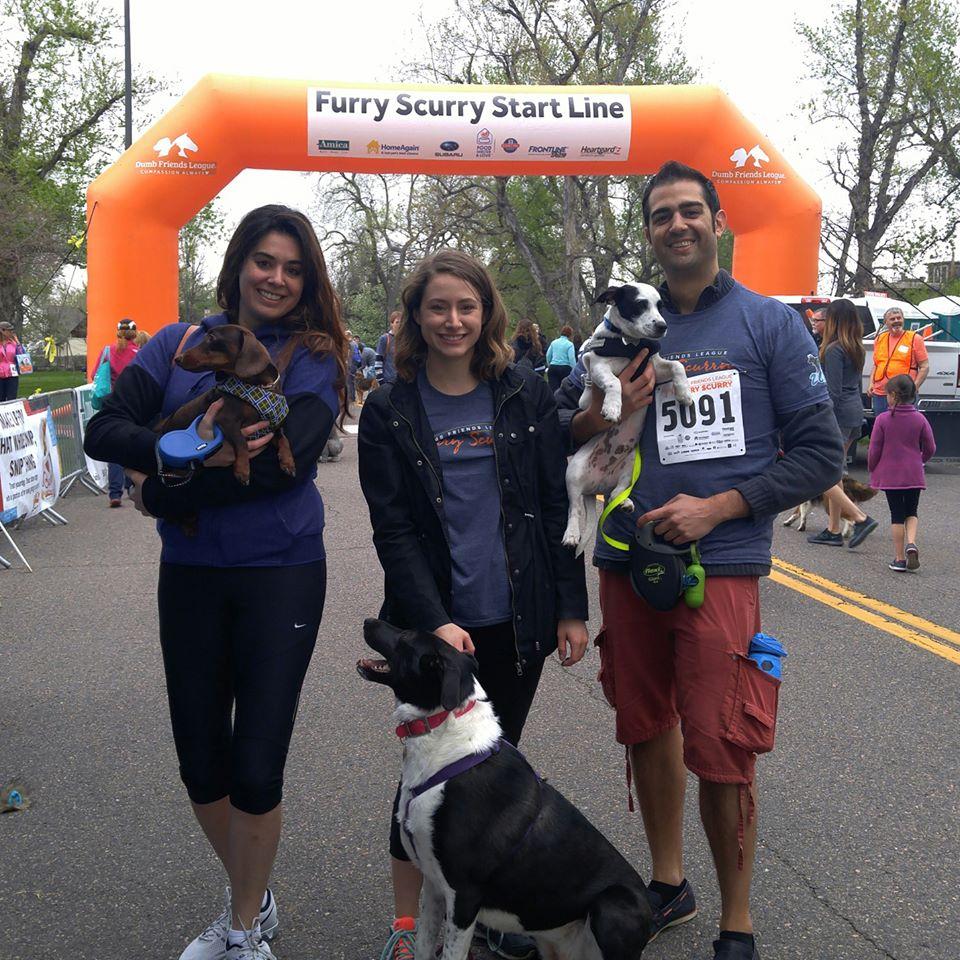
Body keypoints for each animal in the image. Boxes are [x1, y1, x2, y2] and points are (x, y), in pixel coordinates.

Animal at [356, 620, 656, 956]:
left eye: (407, 636)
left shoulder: (464, 896)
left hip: (614, 906)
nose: (368, 621)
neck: (445, 740)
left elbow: (452, 953)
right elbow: (423, 945)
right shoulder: (433, 884)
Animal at [564, 284, 688, 556]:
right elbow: (614, 383)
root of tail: (595, 488)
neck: (629, 344)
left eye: (660, 306)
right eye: (640, 305)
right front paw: (612, 407)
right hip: (573, 472)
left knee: (614, 495)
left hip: (631, 466)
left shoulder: (655, 369)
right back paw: (571, 534)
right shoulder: (597, 367)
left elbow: (677, 366)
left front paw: (685, 393)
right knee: (574, 509)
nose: (662, 326)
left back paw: (627, 502)